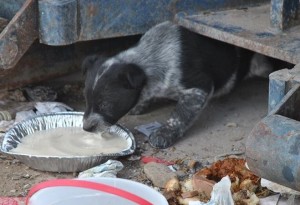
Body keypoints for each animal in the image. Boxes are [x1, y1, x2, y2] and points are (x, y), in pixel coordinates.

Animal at [81, 21, 286, 149]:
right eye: (87, 102)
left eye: (105, 105)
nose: (85, 128)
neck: (149, 59)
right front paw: (140, 105)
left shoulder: (198, 88)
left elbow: (178, 116)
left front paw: (164, 134)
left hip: (261, 64)